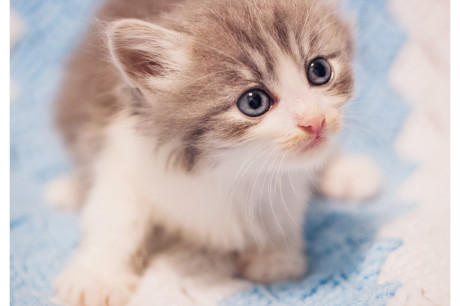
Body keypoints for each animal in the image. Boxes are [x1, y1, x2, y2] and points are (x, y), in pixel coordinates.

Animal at [48, 0, 380, 304]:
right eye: (254, 101)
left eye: (319, 70)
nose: (315, 120)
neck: (228, 167)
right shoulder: (126, 157)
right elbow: (116, 217)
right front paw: (96, 278)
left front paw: (275, 252)